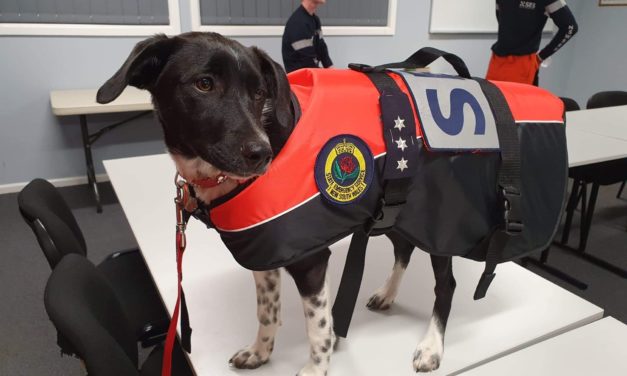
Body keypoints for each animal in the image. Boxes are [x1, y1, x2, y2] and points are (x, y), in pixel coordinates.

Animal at [99, 31, 456, 374]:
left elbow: (318, 328)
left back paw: (432, 347)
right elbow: (267, 311)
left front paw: (315, 370)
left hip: (440, 223)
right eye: (204, 84)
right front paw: (260, 352)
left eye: (259, 93)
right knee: (404, 249)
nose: (262, 153)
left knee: (446, 285)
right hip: (398, 213)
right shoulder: (265, 254)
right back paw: (388, 293)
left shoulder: (311, 261)